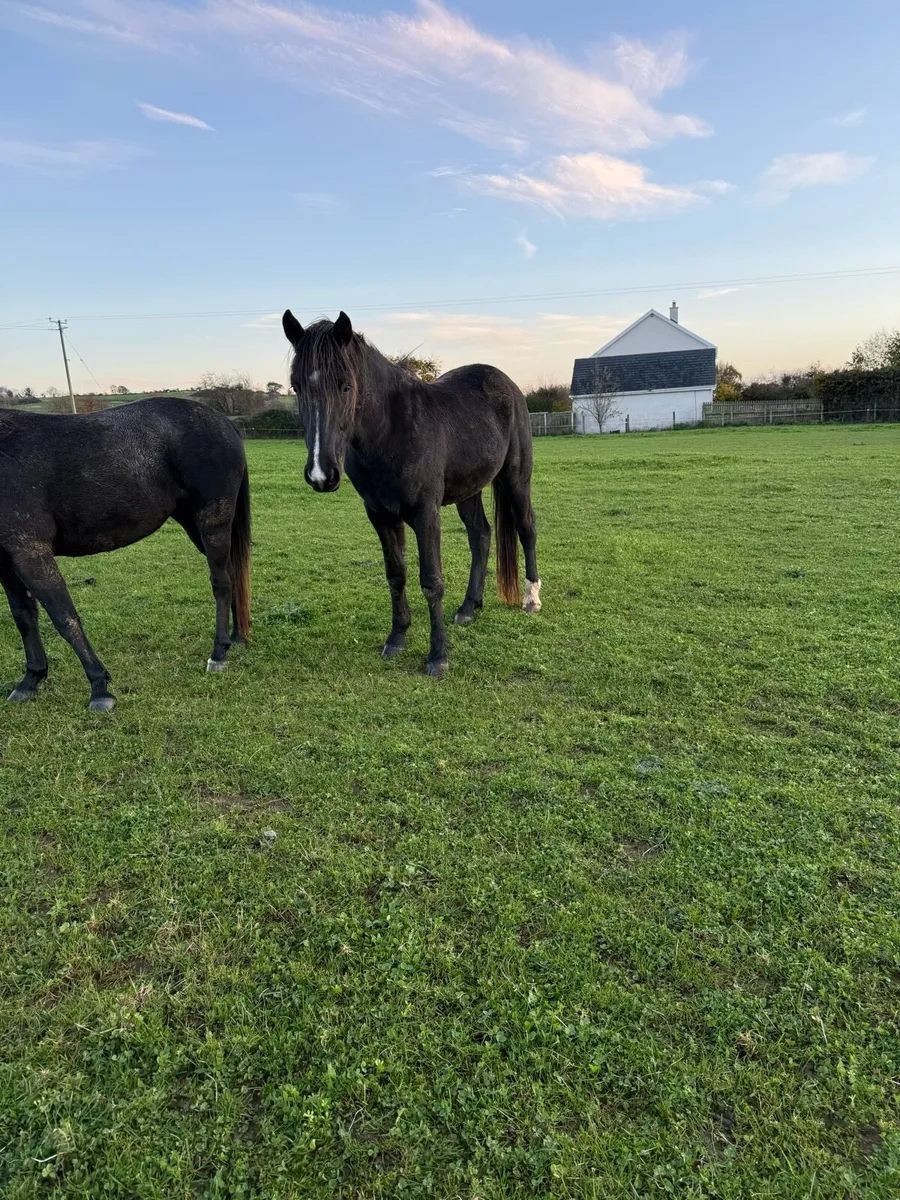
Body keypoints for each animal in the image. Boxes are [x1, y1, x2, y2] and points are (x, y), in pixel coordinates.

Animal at [0, 397, 251, 711]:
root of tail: (223, 421)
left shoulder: (30, 550)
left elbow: (63, 617)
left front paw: (99, 689)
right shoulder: (6, 559)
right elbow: (23, 616)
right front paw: (30, 680)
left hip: (212, 522)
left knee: (222, 582)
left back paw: (218, 653)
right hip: (194, 522)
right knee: (232, 575)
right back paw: (236, 637)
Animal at [282, 309, 540, 677]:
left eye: (346, 384)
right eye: (296, 386)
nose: (321, 474)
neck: (391, 431)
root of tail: (508, 385)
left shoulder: (425, 513)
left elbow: (431, 581)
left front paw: (438, 656)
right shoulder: (380, 515)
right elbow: (396, 574)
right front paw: (397, 638)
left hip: (517, 479)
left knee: (526, 528)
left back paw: (532, 599)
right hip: (468, 491)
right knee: (481, 535)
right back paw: (469, 608)